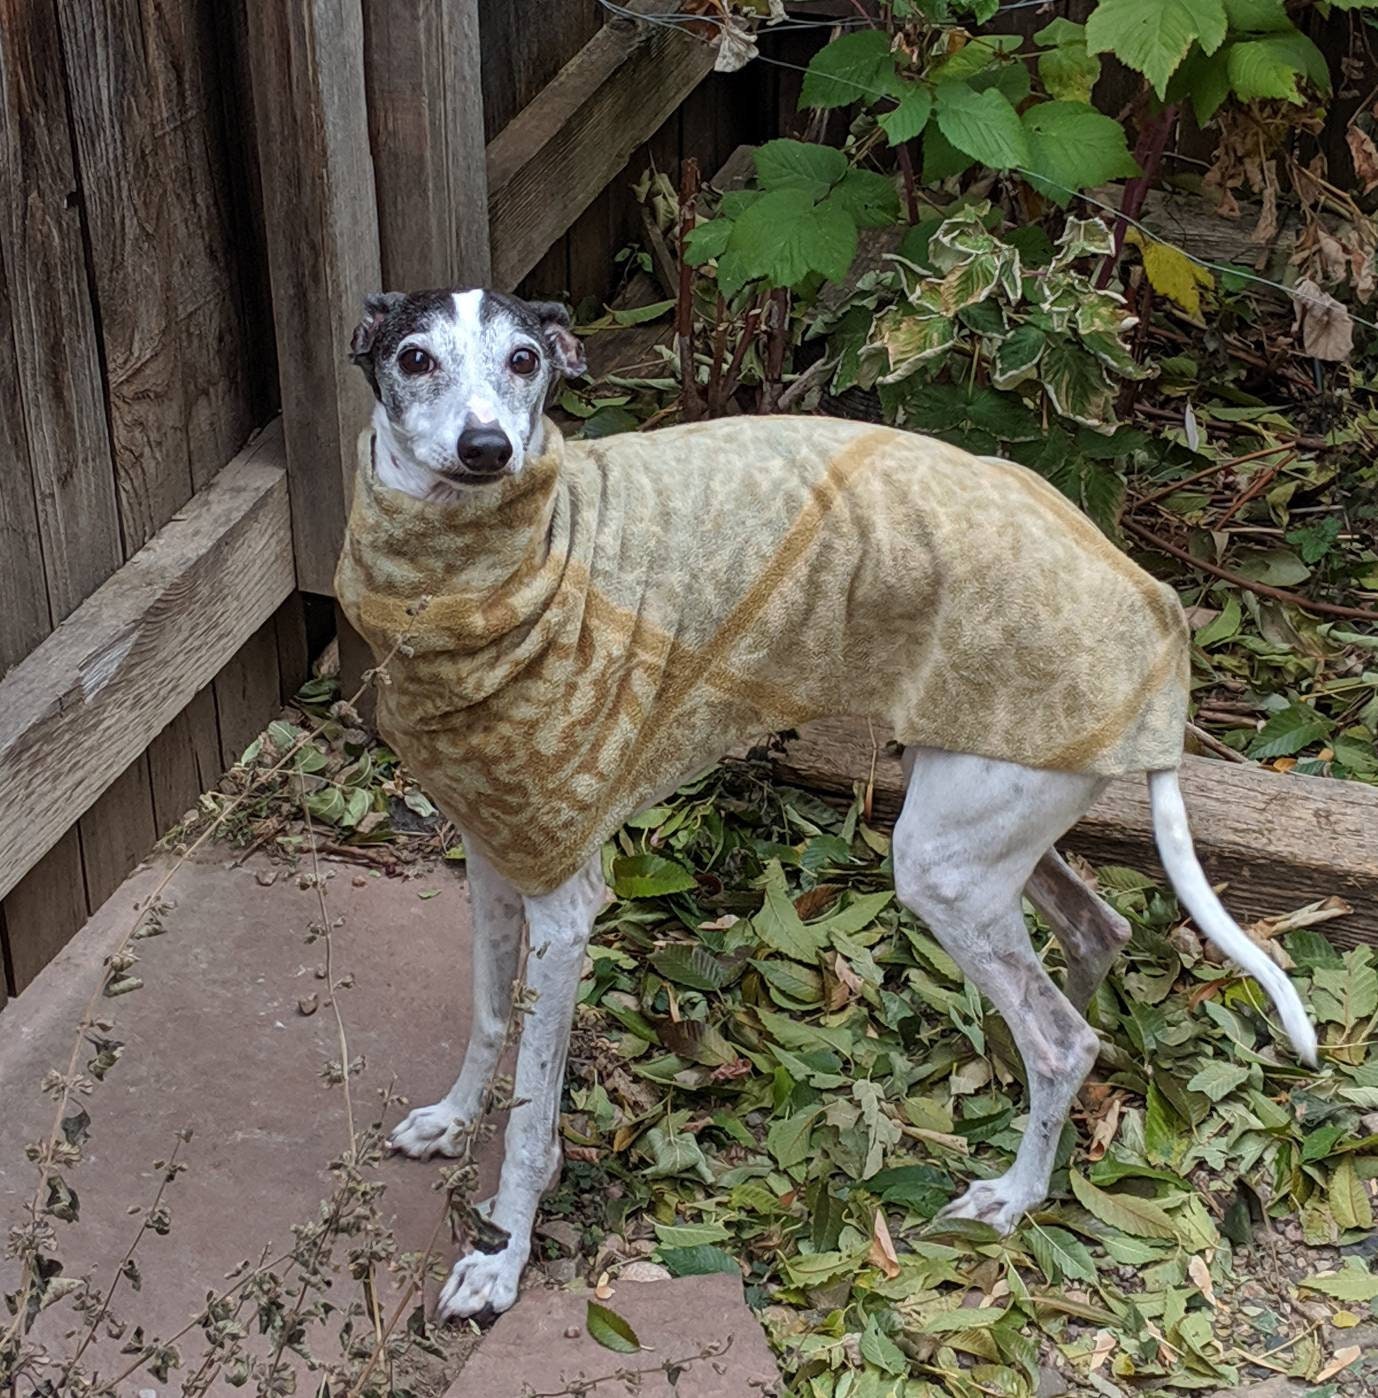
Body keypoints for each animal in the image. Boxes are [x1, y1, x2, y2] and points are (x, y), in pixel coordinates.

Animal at [329, 286, 1308, 1319]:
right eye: (414, 357)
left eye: (525, 359)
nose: (486, 450)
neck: (485, 578)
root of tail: (1153, 607)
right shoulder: (493, 851)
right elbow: (488, 1018)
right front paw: (451, 1119)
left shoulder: (566, 902)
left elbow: (530, 1112)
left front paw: (501, 1254)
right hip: (992, 817)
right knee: (1094, 933)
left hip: (943, 861)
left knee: (1064, 1042)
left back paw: (1015, 1192)